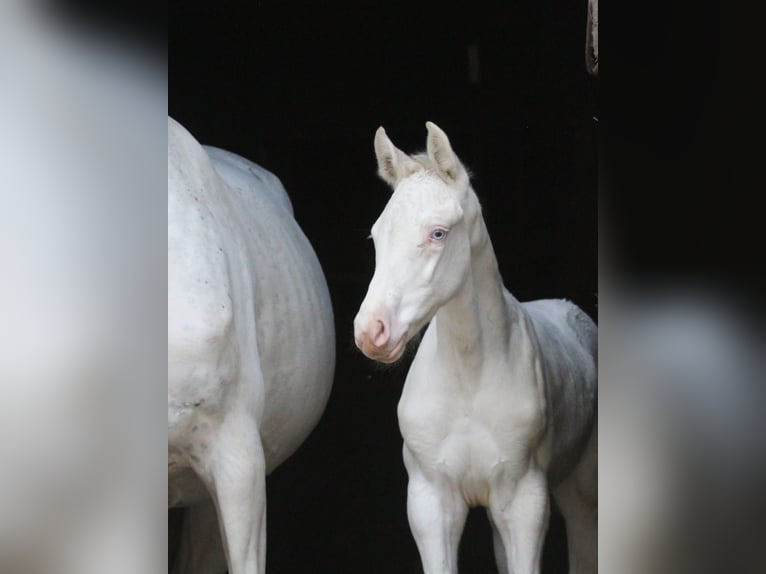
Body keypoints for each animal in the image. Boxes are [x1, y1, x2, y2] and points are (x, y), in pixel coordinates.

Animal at [354, 124, 600, 572]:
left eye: (437, 233)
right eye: (377, 235)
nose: (371, 331)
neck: (470, 376)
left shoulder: (525, 503)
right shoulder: (430, 502)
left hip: (580, 495)